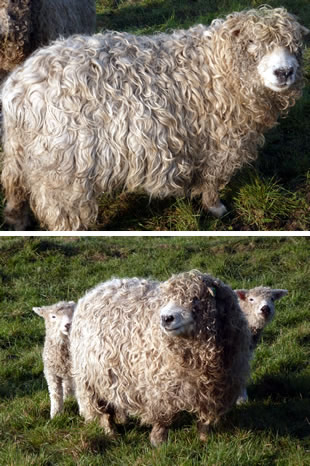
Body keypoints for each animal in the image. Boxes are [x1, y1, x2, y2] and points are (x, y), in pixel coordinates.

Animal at [0, 6, 308, 231]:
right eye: (253, 43)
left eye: (295, 46)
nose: (284, 72)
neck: (218, 69)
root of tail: (19, 85)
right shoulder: (216, 144)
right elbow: (212, 180)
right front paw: (216, 207)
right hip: (63, 167)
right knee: (61, 207)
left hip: (20, 152)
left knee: (15, 187)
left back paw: (17, 222)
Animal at [69, 272, 251, 446]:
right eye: (167, 299)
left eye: (196, 298)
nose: (166, 318)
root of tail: (99, 288)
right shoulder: (159, 389)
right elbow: (162, 420)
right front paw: (158, 442)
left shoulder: (214, 391)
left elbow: (204, 419)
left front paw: (204, 439)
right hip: (90, 381)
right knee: (103, 413)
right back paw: (111, 433)